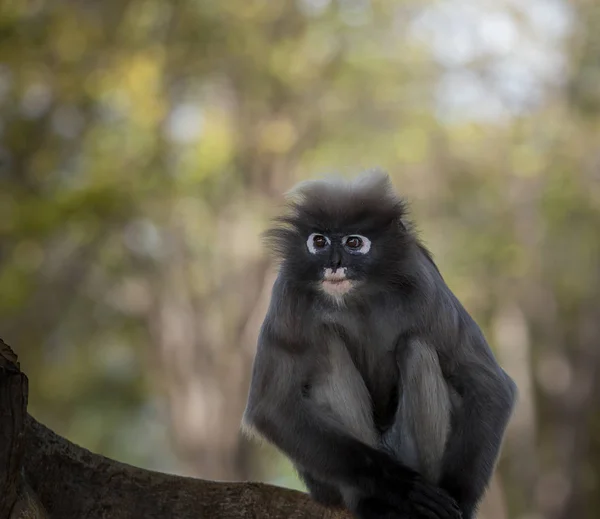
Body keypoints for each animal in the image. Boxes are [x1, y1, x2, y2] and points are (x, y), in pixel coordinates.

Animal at [241, 171, 516, 519]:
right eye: (319, 242)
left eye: (353, 242)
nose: (333, 263)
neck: (357, 294)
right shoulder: (287, 295)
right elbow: (271, 406)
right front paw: (401, 486)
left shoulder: (425, 286)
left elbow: (489, 383)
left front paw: (460, 500)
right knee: (325, 351)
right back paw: (374, 501)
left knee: (416, 347)